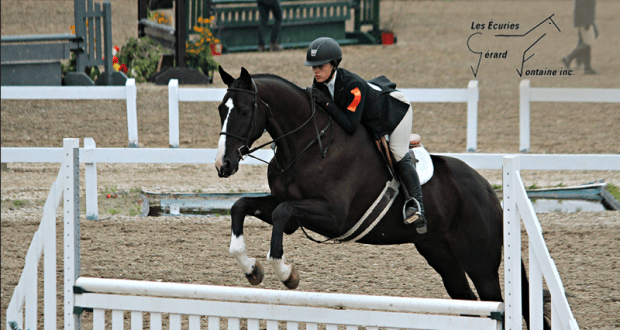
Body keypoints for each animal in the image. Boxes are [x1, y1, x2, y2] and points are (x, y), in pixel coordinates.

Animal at [216, 65, 544, 328]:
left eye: (244, 111)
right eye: (221, 109)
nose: (223, 165)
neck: (308, 144)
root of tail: (489, 191)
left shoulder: (333, 216)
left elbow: (282, 212)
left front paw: (286, 274)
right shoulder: (291, 209)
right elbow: (241, 206)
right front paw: (251, 268)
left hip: (480, 261)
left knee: (498, 300)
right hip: (442, 255)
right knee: (468, 301)